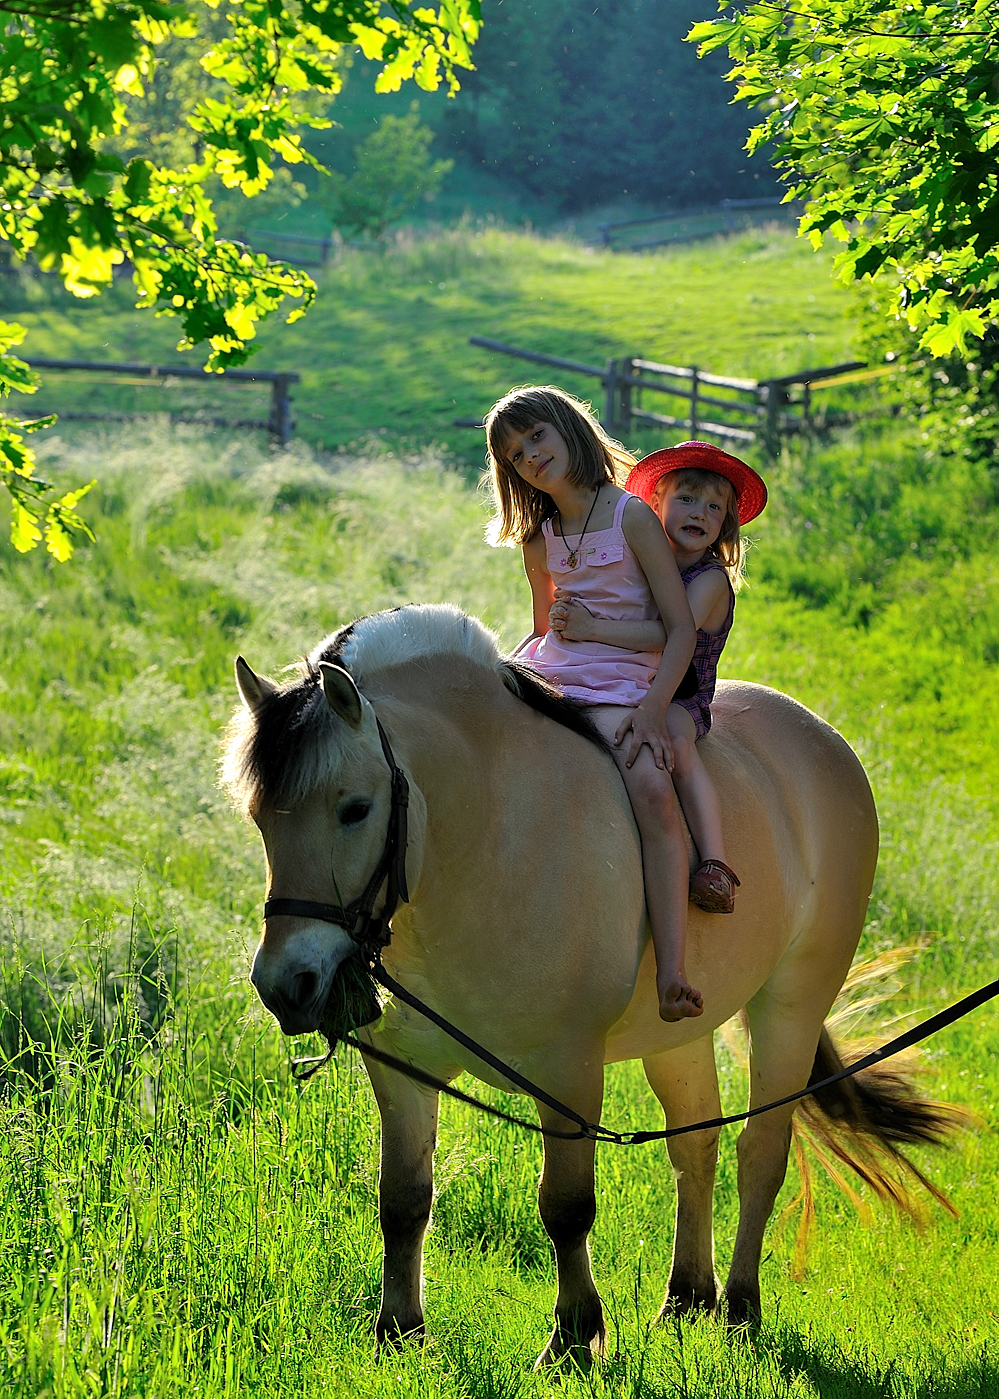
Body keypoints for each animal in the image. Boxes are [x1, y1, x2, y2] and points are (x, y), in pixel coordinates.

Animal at [222, 604, 951, 1365]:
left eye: (355, 808)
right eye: (258, 816)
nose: (286, 983)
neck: (488, 841)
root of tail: (823, 741)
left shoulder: (567, 1072)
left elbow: (566, 1206)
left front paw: (573, 1339)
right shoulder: (403, 1067)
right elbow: (403, 1198)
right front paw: (399, 1333)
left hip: (791, 1008)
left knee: (760, 1152)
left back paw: (740, 1308)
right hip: (678, 1033)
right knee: (695, 1145)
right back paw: (686, 1299)